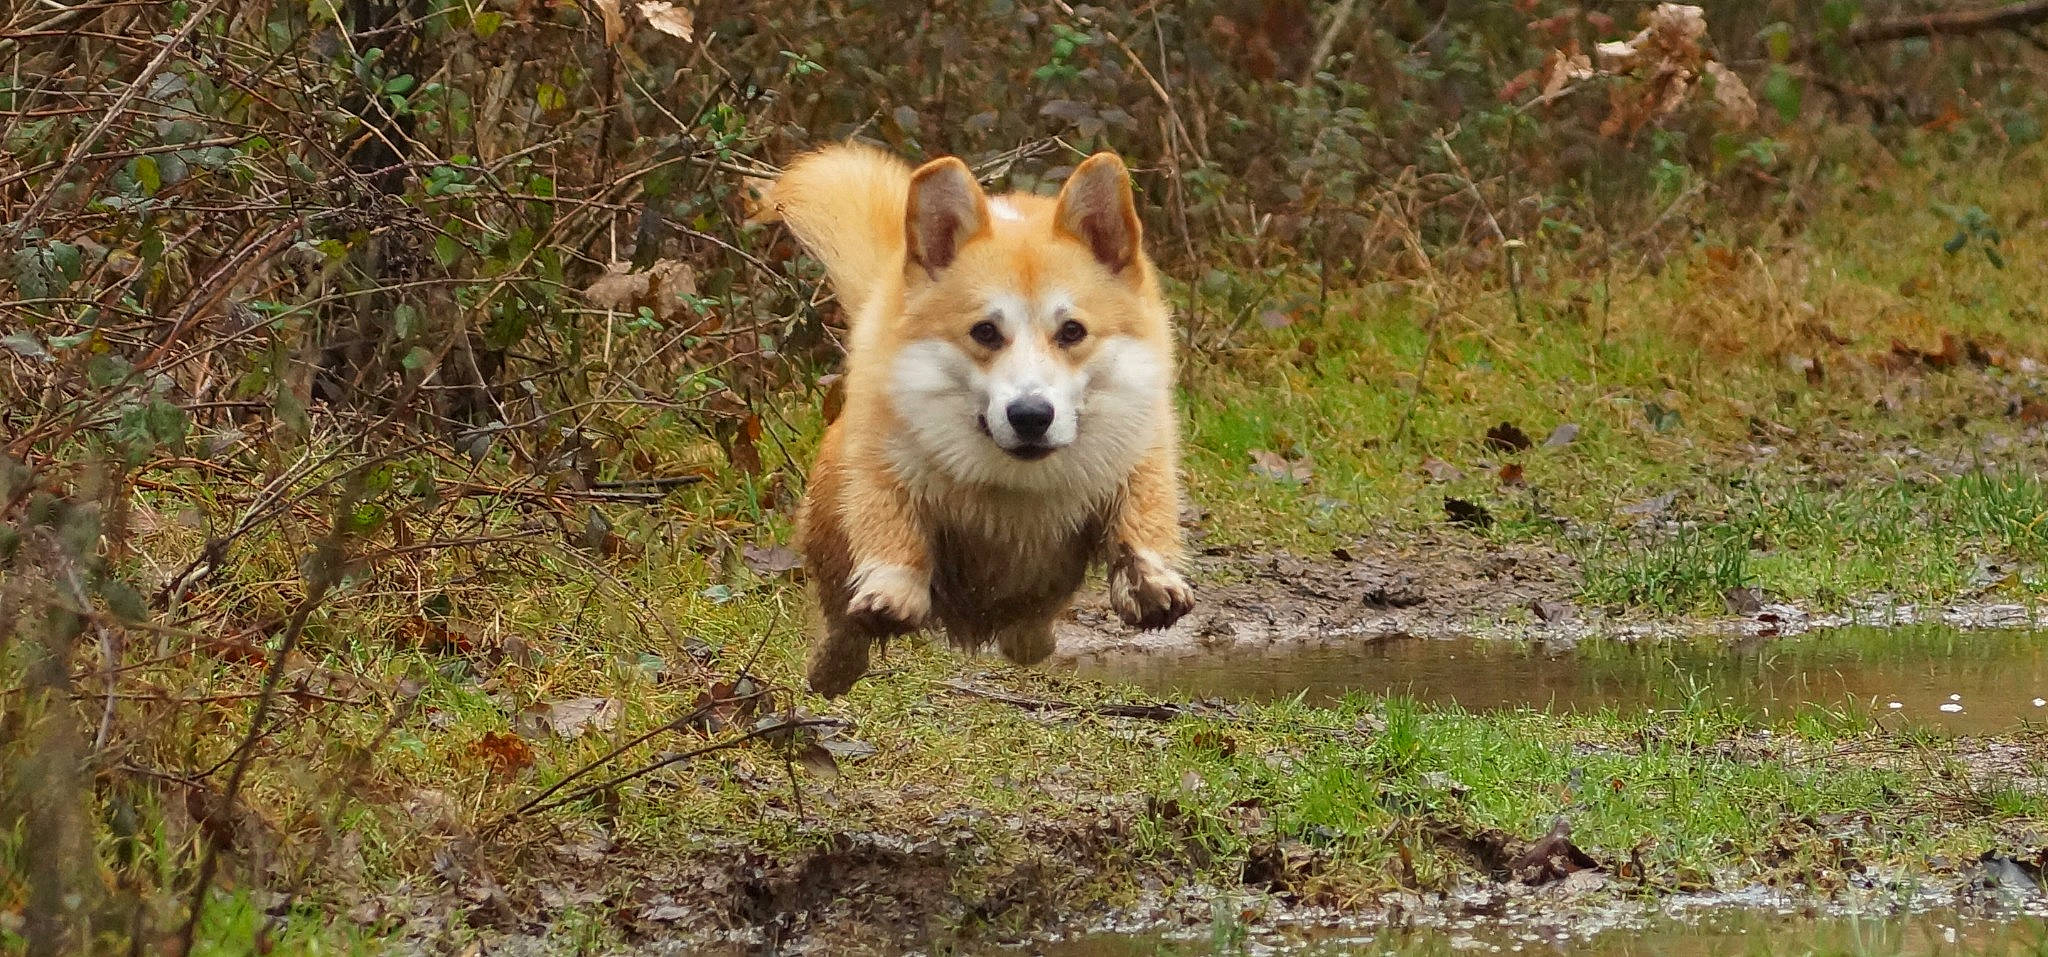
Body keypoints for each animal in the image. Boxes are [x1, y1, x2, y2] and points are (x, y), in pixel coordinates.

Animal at [755, 144, 1194, 697]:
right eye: (985, 331)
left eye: (1072, 331)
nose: (1031, 416)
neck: (1015, 484)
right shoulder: (884, 465)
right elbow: (889, 523)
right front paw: (892, 591)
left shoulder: (1140, 452)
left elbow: (1142, 515)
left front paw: (1152, 582)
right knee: (839, 615)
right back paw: (833, 665)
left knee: (1030, 630)